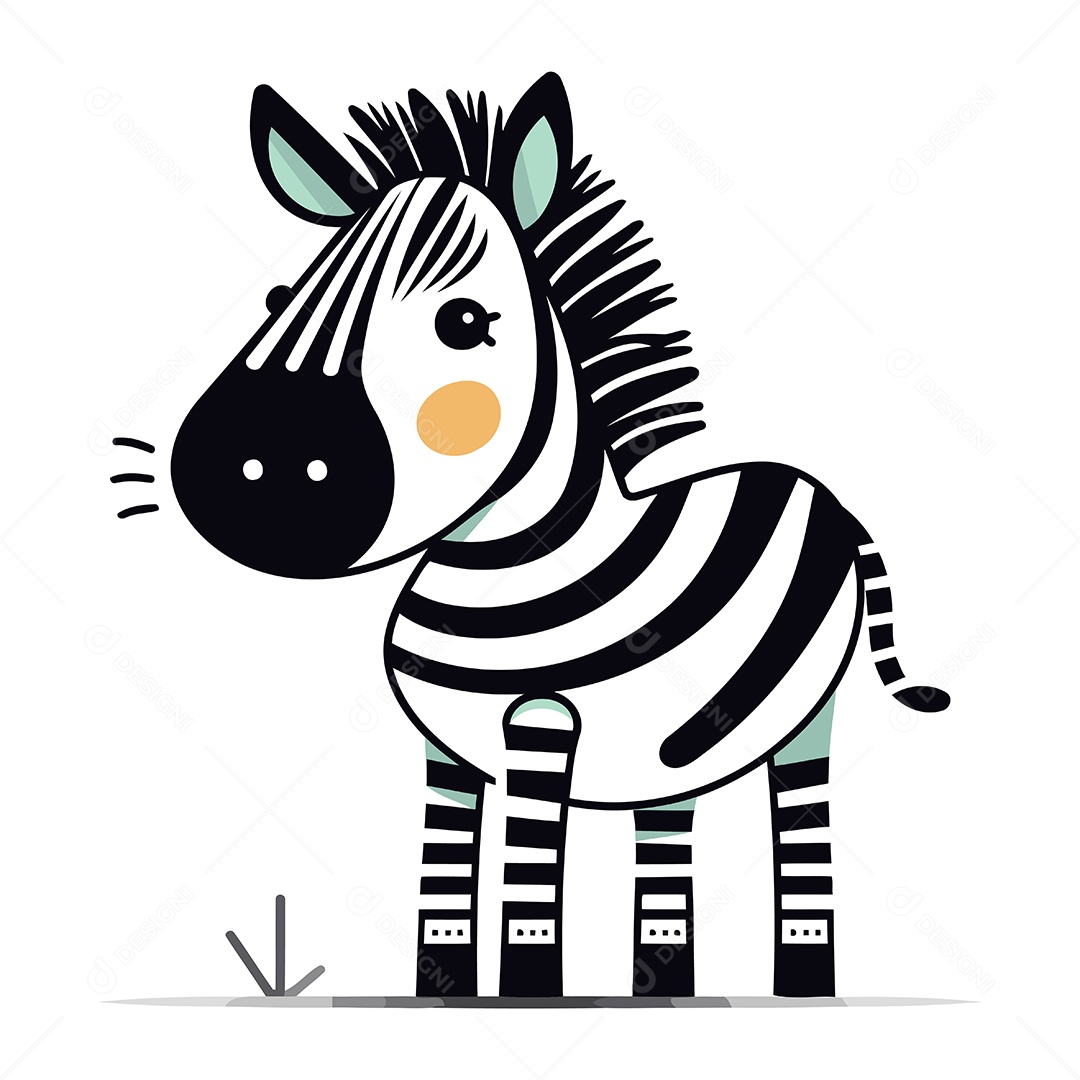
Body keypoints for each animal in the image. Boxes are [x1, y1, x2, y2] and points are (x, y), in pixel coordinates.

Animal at [164, 72, 951, 1000]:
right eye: (277, 302)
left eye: (465, 323)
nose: (258, 471)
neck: (491, 561)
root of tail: (822, 488)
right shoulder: (446, 744)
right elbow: (445, 877)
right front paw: (443, 992)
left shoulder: (542, 720)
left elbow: (529, 877)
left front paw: (530, 995)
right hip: (671, 735)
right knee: (667, 828)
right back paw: (666, 984)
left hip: (809, 716)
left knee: (800, 828)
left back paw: (802, 982)